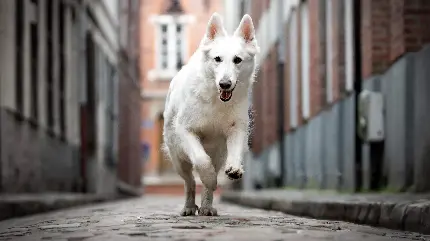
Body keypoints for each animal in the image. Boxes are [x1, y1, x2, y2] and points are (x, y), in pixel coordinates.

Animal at [162, 12, 258, 216]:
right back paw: (189, 206)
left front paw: (234, 169)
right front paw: (210, 179)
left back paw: (206, 207)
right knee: (189, 181)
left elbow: (234, 151)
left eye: (237, 60)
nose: (225, 84)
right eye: (217, 59)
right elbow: (201, 160)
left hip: (218, 154)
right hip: (178, 158)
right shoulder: (186, 130)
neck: (216, 99)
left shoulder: (237, 128)